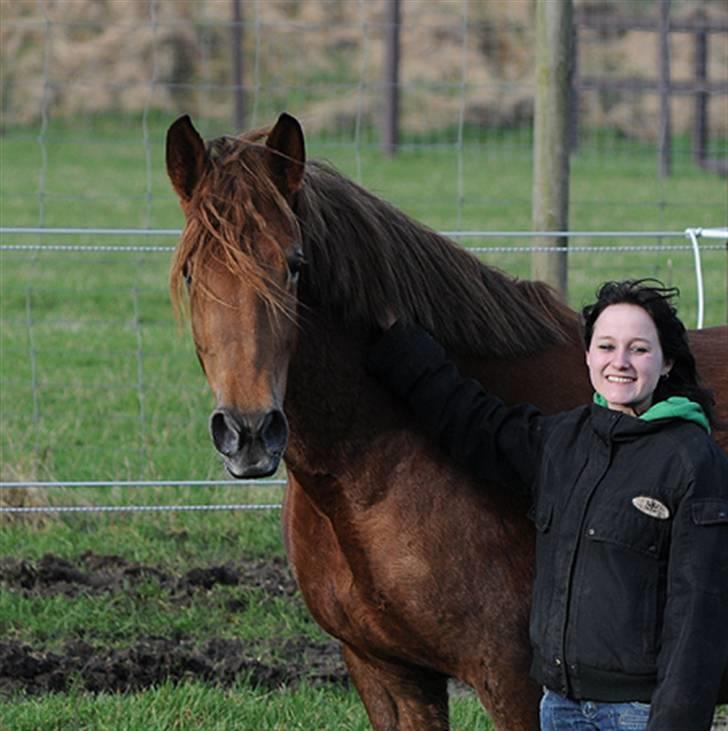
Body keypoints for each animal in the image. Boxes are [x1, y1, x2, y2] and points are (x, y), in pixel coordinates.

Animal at [165, 114, 728, 731]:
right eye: (191, 272)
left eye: (294, 264)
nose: (248, 432)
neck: (381, 469)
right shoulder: (387, 673)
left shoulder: (515, 683)